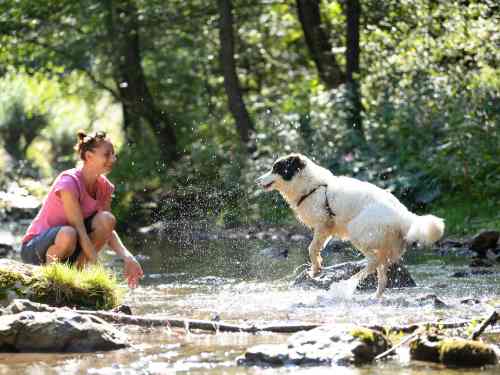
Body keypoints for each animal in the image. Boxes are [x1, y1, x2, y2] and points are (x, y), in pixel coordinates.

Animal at [256, 154, 444, 298]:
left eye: (276, 168)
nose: (257, 181)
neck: (312, 186)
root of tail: (403, 215)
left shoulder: (322, 224)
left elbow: (311, 248)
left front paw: (315, 269)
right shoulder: (327, 228)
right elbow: (316, 248)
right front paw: (317, 267)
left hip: (358, 232)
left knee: (373, 261)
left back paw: (347, 285)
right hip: (386, 246)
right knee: (382, 272)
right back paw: (374, 296)